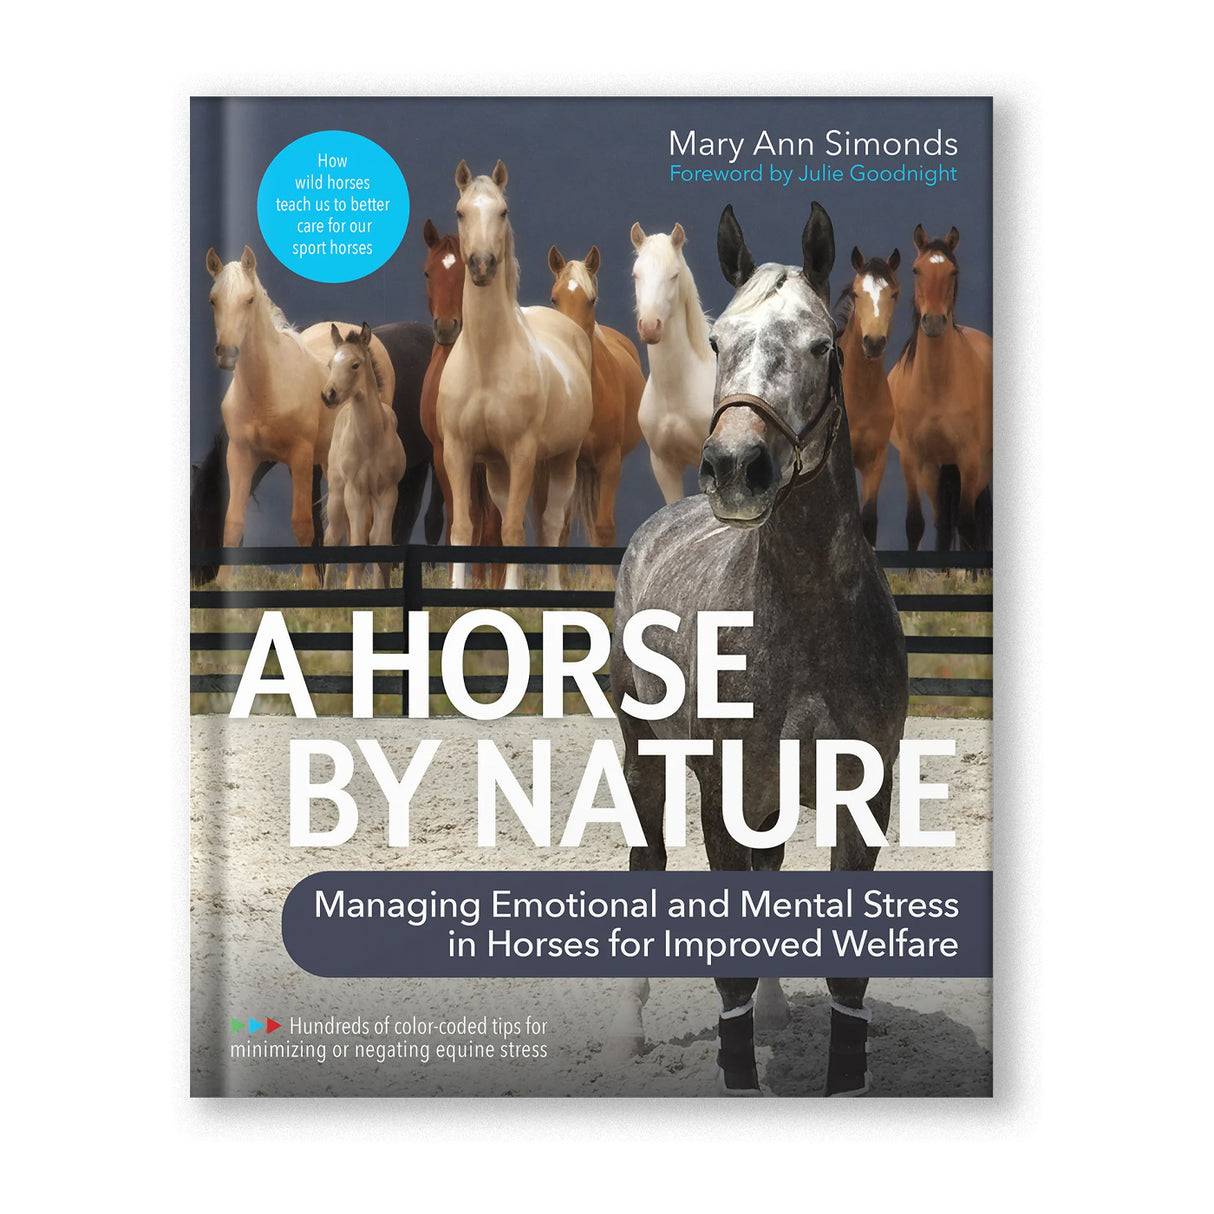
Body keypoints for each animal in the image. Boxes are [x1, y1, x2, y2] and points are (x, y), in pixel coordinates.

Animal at [204, 246, 396, 586]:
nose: (227, 354)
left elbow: (303, 523)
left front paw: (309, 584)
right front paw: (223, 583)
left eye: (249, 299)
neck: (267, 390)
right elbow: (233, 522)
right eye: (214, 299)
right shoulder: (239, 455)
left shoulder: (300, 456)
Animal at [321, 324, 407, 590]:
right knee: (333, 536)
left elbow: (381, 545)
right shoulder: (356, 491)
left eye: (355, 365)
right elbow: (356, 547)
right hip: (337, 491)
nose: (328, 394)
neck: (370, 441)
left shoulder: (387, 491)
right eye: (330, 364)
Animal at [436, 160, 593, 590]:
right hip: (497, 471)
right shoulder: (459, 453)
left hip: (563, 460)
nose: (482, 264)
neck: (487, 361)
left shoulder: (523, 452)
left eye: (502, 211)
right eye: (460, 211)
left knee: (551, 524)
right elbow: (464, 528)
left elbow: (514, 532)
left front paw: (511, 596)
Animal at [887, 225, 993, 551]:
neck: (935, 388)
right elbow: (915, 525)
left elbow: (968, 526)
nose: (933, 322)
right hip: (934, 472)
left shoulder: (969, 458)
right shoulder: (913, 459)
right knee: (943, 524)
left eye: (953, 271)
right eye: (916, 269)